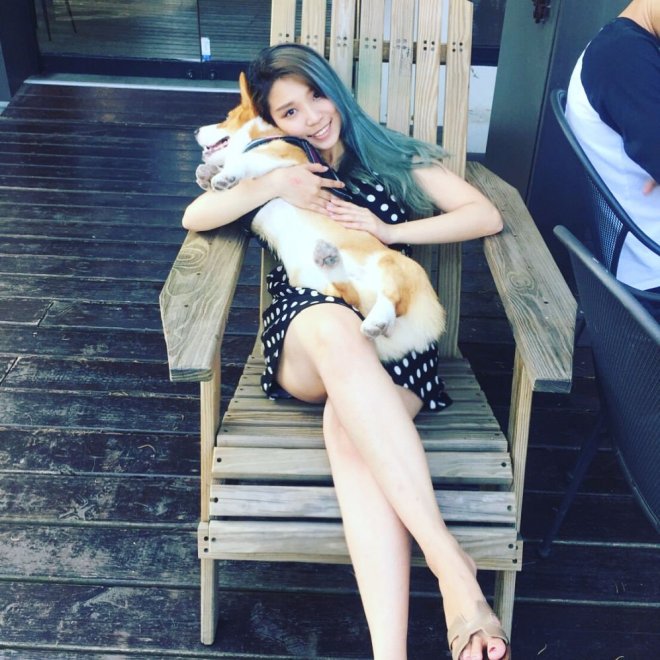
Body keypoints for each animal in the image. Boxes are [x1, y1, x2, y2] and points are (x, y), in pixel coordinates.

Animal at [193, 73, 445, 362]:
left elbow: (247, 161)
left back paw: (377, 316)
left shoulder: (283, 159)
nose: (195, 131)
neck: (265, 135)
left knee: (391, 298)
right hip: (319, 284)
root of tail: (413, 334)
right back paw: (332, 262)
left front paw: (225, 174)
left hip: (394, 265)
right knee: (352, 297)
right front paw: (206, 174)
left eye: (226, 117)